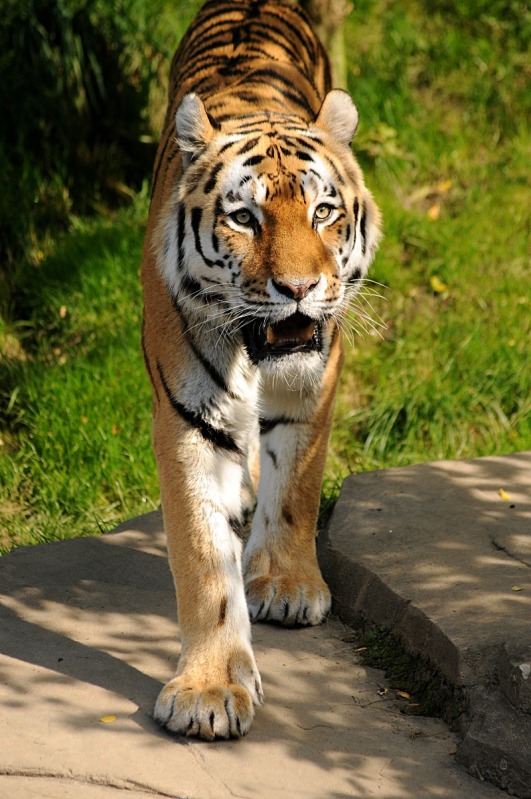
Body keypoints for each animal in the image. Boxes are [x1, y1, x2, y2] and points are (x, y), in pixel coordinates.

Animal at [141, 0, 380, 740]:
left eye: (323, 211)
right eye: (244, 218)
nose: (299, 288)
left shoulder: (314, 378)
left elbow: (297, 479)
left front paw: (285, 582)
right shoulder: (186, 415)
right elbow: (201, 556)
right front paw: (210, 688)